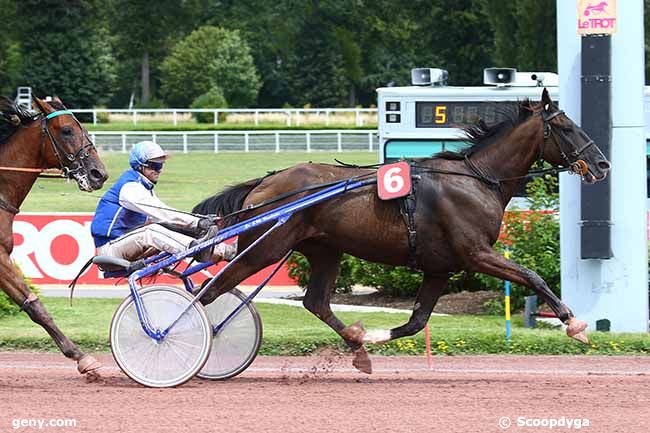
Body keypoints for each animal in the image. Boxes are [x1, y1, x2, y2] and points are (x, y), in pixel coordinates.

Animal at [192, 90, 608, 372]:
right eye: (567, 127)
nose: (602, 163)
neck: (477, 179)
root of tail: (265, 182)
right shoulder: (476, 254)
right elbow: (533, 276)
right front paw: (575, 324)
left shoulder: (440, 268)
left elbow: (417, 321)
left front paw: (374, 336)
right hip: (266, 248)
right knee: (210, 290)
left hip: (325, 250)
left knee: (316, 302)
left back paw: (357, 345)